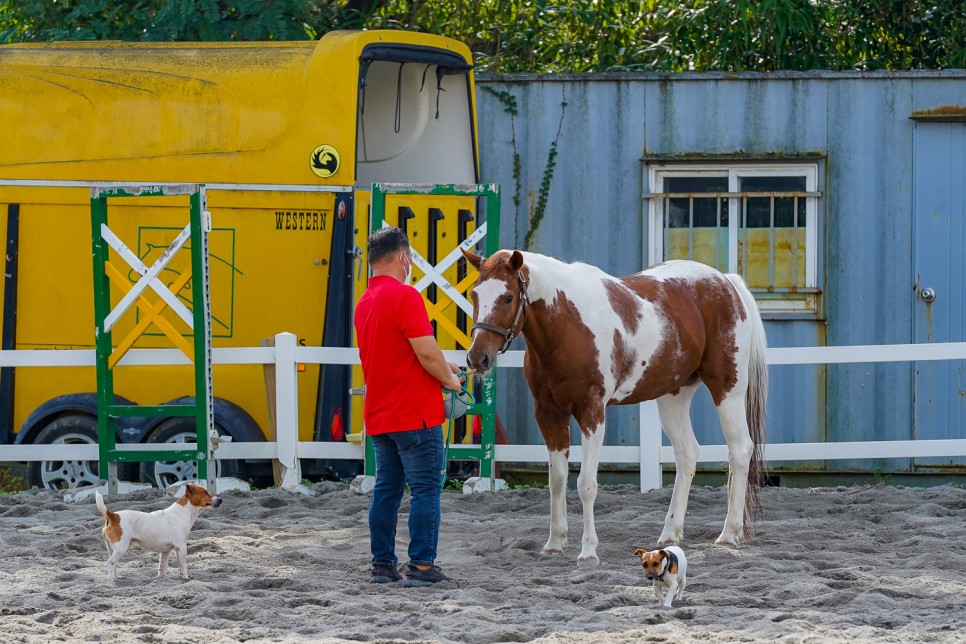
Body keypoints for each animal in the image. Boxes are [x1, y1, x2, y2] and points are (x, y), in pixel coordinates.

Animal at [466, 249, 768, 568]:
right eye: (474, 294)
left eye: (508, 297)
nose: (477, 358)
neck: (568, 324)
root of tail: (726, 282)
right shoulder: (548, 414)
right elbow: (557, 481)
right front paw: (554, 544)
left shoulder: (592, 413)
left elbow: (586, 484)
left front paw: (588, 551)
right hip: (673, 396)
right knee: (687, 454)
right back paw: (669, 533)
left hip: (728, 391)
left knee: (740, 451)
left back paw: (729, 534)